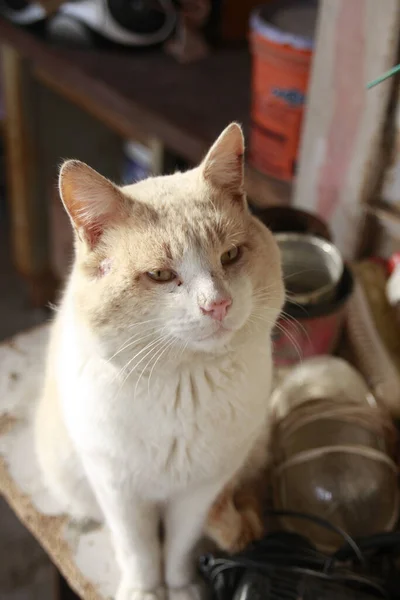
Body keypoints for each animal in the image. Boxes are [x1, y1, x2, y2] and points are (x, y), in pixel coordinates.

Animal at [34, 122, 284, 600]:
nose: (217, 305)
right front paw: (145, 591)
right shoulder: (120, 492)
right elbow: (141, 551)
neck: (183, 382)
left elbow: (179, 548)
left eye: (230, 255)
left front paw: (182, 587)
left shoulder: (199, 492)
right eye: (161, 275)